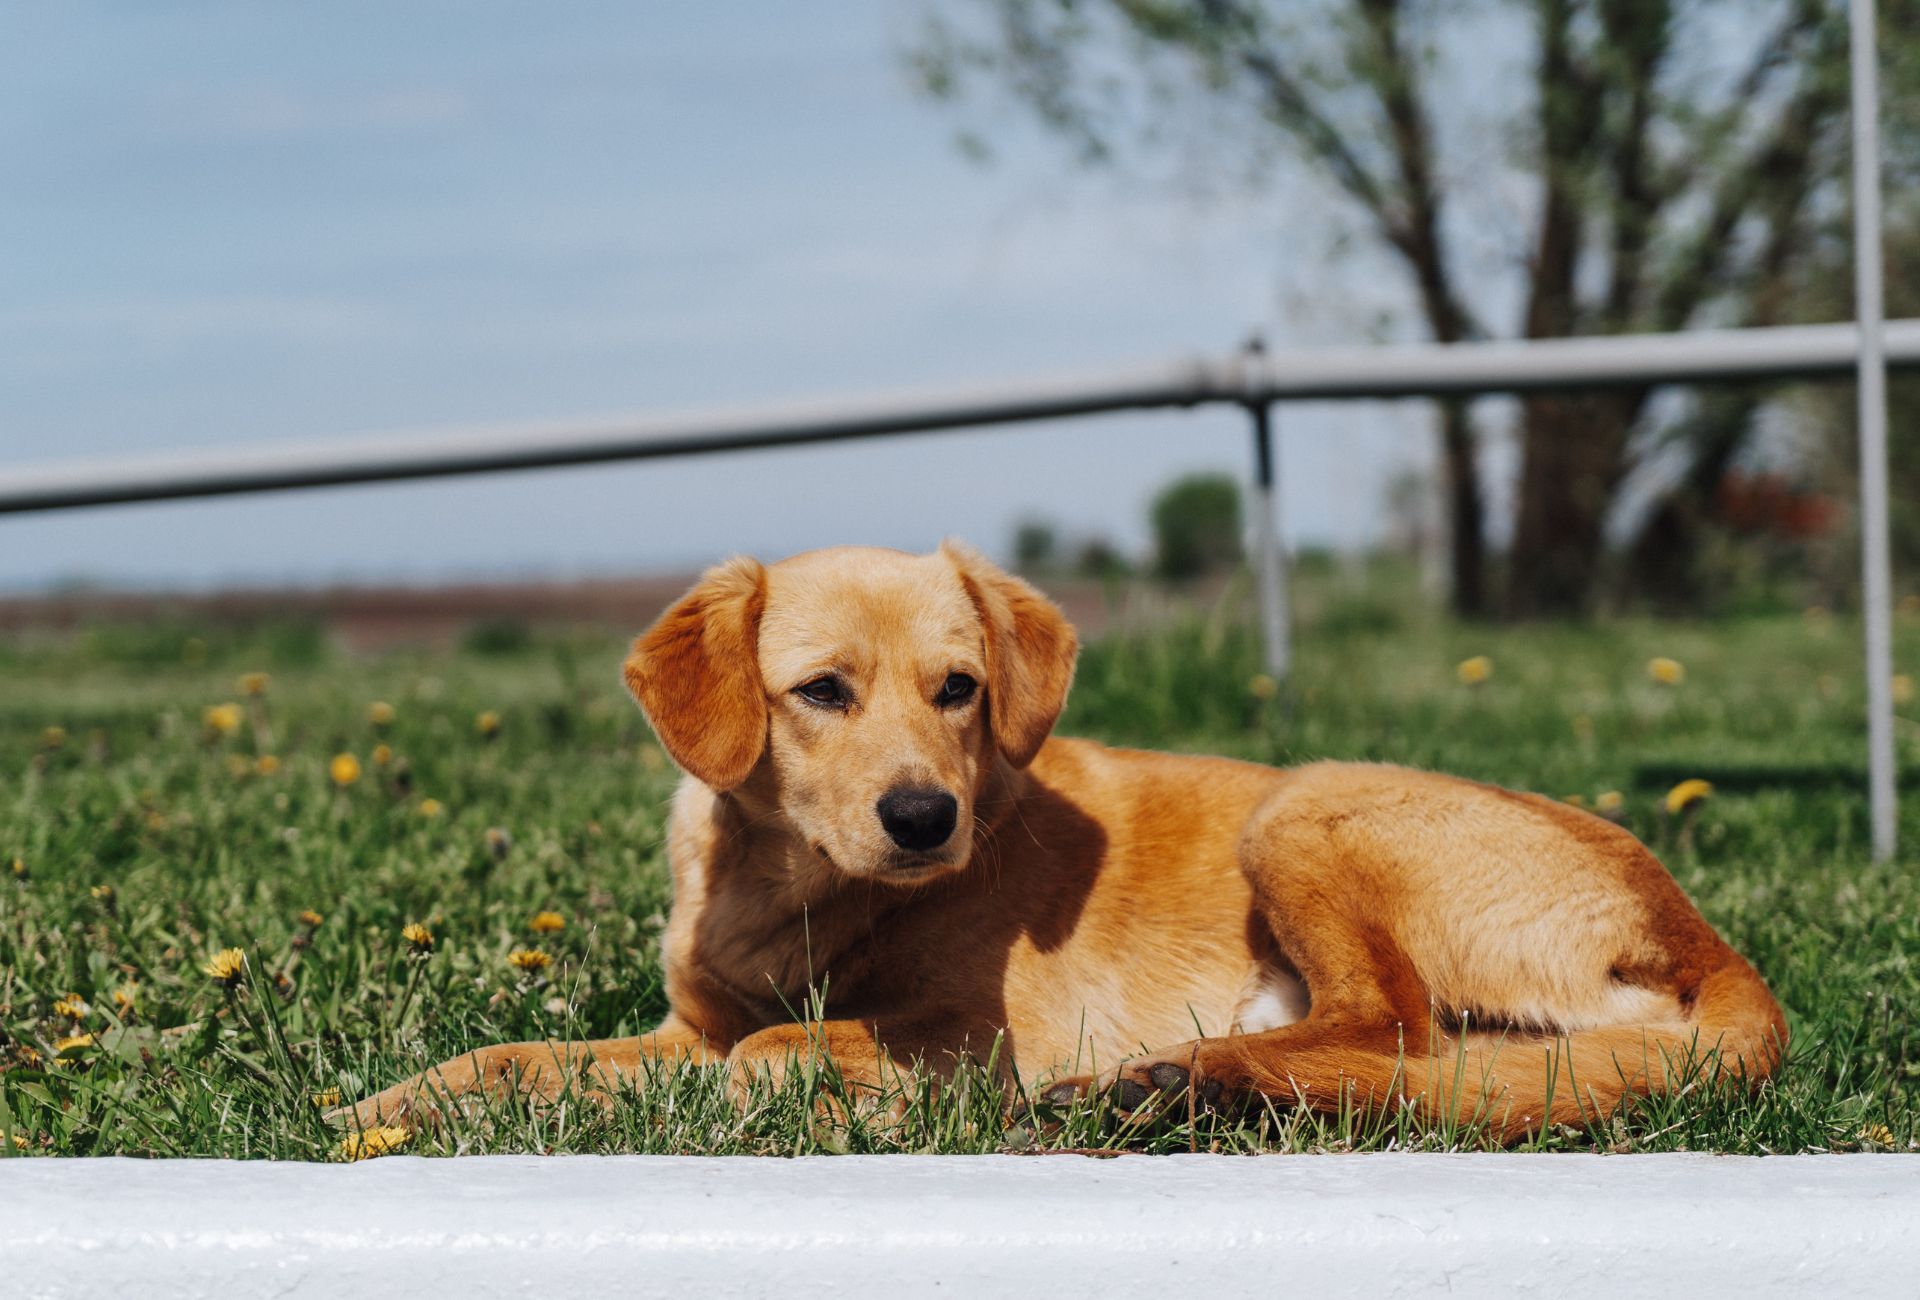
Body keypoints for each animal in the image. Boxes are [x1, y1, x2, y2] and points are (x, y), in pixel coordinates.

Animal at [353, 541, 1789, 1144]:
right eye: (820, 691)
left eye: (960, 689)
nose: (923, 818)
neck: (799, 891)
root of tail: (1710, 944)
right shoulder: (683, 1025)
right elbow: (514, 1058)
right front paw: (383, 1106)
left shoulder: (974, 1037)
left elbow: (770, 1052)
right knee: (1427, 1060)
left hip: (1304, 807)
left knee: (1391, 1026)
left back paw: (1181, 1078)